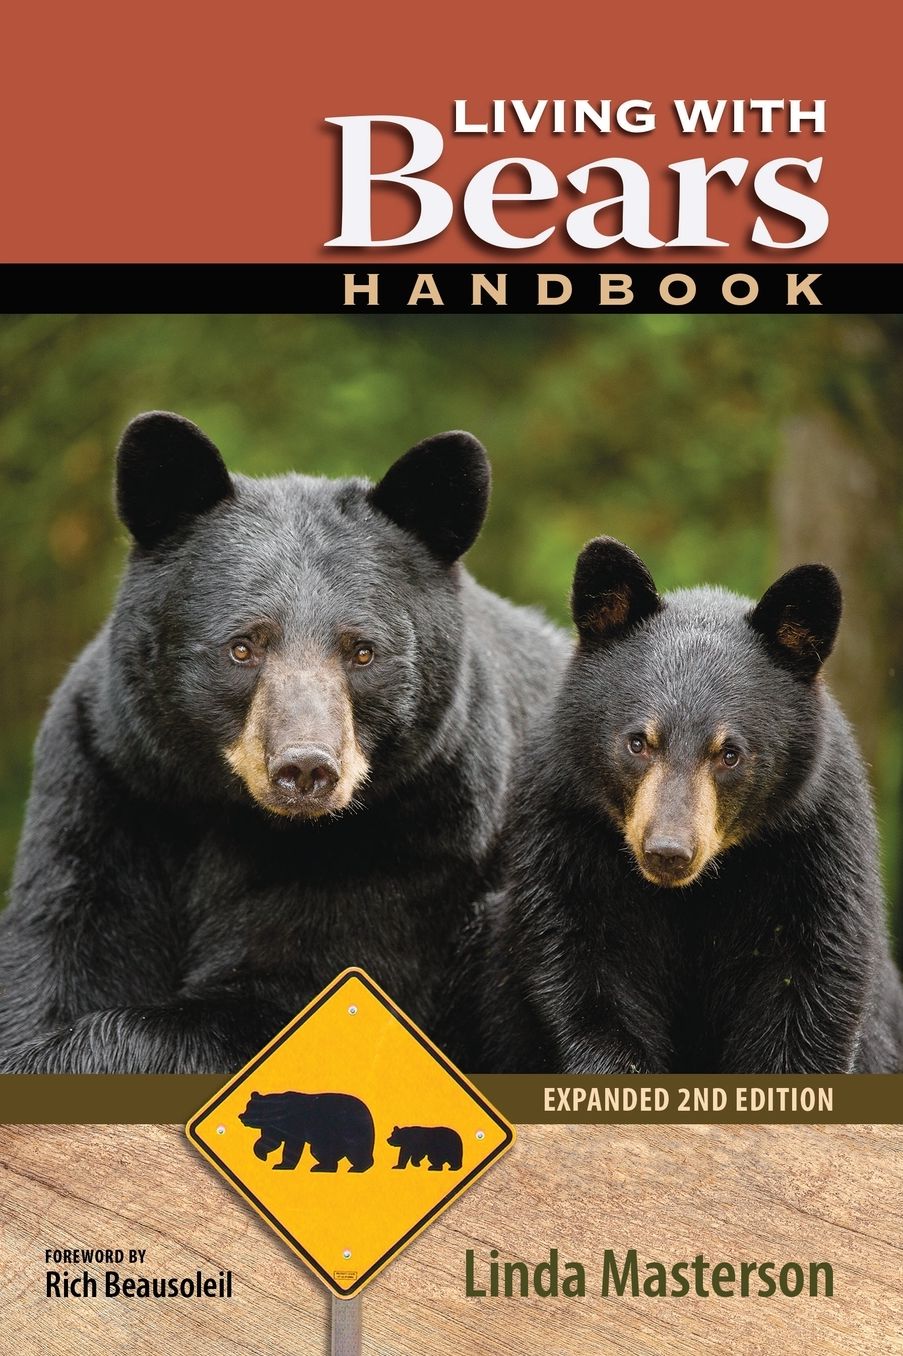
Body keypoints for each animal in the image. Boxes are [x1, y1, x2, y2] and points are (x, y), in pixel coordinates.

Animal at [0, 411, 569, 1073]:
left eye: (362, 651)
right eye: (243, 646)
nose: (305, 768)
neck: (236, 815)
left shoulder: (418, 832)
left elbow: (298, 993)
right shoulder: (113, 783)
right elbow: (68, 949)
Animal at [239, 1090, 375, 1172]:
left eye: (250, 1108)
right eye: (247, 1106)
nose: (241, 1116)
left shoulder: (294, 1125)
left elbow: (292, 1146)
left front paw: (282, 1165)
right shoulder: (274, 1128)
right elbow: (269, 1142)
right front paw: (262, 1156)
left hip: (349, 1130)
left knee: (354, 1151)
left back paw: (357, 1167)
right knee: (323, 1152)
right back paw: (321, 1167)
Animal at [487, 536, 903, 1074]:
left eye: (729, 753)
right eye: (638, 742)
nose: (668, 851)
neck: (692, 892)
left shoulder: (813, 847)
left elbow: (808, 990)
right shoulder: (567, 829)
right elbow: (585, 968)